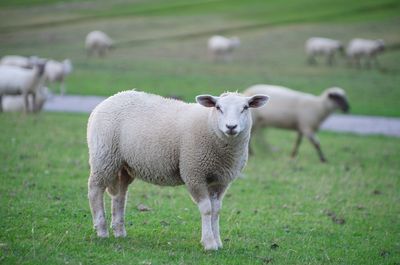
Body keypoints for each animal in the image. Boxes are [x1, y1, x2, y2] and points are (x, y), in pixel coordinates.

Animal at [87, 89, 268, 249]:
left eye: (245, 107)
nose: (231, 127)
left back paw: (119, 231)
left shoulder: (221, 180)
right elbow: (207, 209)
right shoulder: (194, 173)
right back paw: (102, 230)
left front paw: (217, 241)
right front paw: (209, 243)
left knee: (120, 196)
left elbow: (216, 211)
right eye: (218, 107)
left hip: (124, 165)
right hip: (104, 156)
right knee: (95, 189)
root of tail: (108, 100)